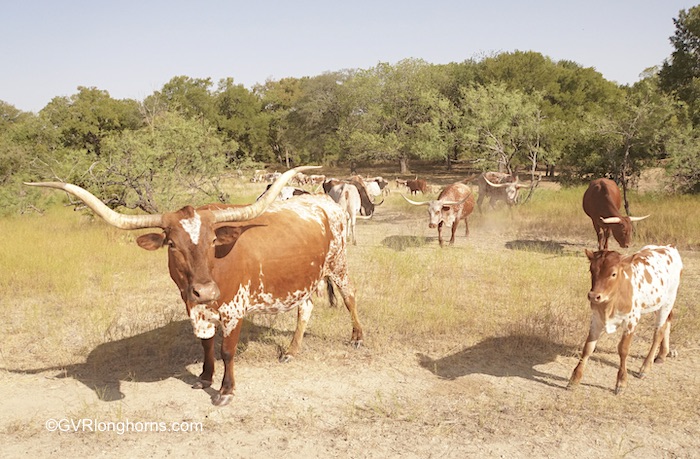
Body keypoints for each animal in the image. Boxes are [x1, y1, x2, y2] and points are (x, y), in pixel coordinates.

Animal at [24, 167, 364, 408]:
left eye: (213, 240)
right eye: (172, 244)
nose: (206, 291)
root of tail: (322, 201)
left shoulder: (233, 310)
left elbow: (226, 351)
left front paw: (225, 390)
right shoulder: (196, 309)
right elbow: (206, 345)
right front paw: (203, 377)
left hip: (338, 264)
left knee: (350, 296)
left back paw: (357, 338)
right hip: (305, 280)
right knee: (305, 308)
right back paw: (292, 350)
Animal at [568, 248, 684, 396]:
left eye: (613, 273)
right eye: (591, 269)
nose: (594, 296)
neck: (610, 302)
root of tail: (669, 247)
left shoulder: (631, 321)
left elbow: (623, 349)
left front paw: (621, 382)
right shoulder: (596, 319)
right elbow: (588, 347)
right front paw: (574, 379)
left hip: (668, 301)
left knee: (659, 331)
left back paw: (645, 367)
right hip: (657, 304)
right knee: (668, 321)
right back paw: (662, 355)